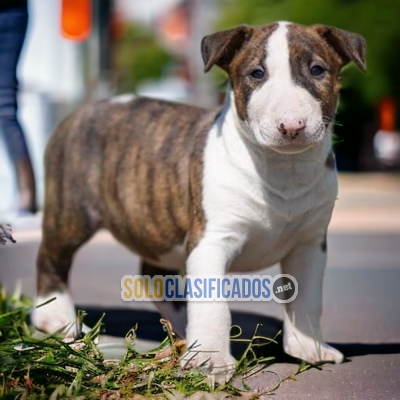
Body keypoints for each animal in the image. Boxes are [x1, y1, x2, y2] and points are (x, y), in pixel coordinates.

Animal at [32, 21, 368, 382]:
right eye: (257, 73)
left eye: (317, 70)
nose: (291, 126)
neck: (282, 169)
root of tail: (86, 109)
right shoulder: (211, 240)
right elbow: (214, 305)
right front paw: (211, 360)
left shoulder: (308, 245)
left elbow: (306, 298)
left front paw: (309, 348)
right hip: (72, 213)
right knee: (51, 258)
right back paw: (55, 318)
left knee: (154, 276)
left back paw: (183, 330)